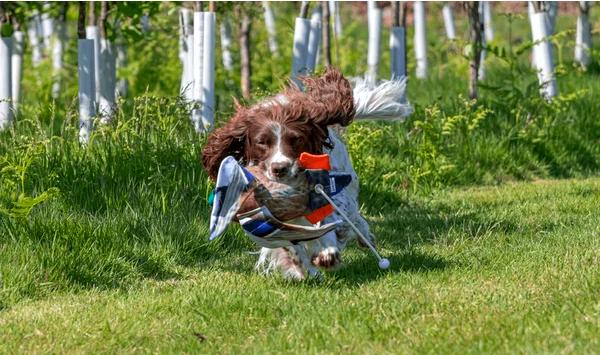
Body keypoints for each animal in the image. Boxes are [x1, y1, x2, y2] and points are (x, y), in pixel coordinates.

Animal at [202, 68, 412, 280]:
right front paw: (306, 269)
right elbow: (290, 245)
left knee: (353, 217)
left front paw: (327, 253)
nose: (280, 168)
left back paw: (362, 237)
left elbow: (331, 219)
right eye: (262, 142)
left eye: (296, 139)